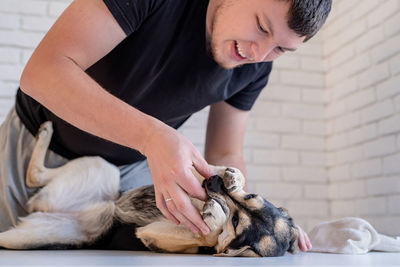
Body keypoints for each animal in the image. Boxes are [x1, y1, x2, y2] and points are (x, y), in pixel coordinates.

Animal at [0, 122, 298, 258]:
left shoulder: (152, 235)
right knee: (35, 174)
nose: (213, 183)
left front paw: (213, 220)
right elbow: (200, 167)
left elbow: (208, 237)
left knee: (33, 176)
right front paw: (231, 174)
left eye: (236, 223)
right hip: (104, 168)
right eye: (251, 197)